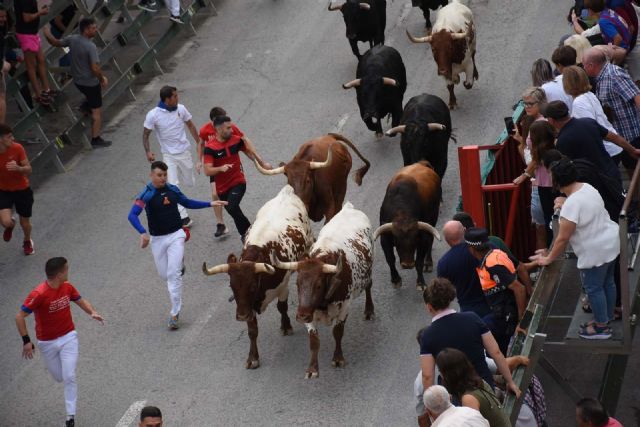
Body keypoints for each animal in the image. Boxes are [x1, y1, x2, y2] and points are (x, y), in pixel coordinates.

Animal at [201, 187, 314, 372]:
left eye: (253, 286)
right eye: (232, 287)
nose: (241, 316)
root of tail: (286, 192)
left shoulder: (282, 287)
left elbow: (282, 307)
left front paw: (286, 326)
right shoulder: (248, 305)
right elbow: (252, 330)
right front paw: (253, 358)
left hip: (310, 241)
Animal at [272, 202, 376, 380]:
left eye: (319, 285)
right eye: (297, 284)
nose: (301, 316)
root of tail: (349, 208)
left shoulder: (344, 307)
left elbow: (338, 332)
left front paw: (338, 358)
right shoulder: (308, 312)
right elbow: (314, 341)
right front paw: (312, 368)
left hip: (368, 273)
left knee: (368, 287)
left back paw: (369, 311)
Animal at [376, 161, 440, 290]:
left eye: (415, 240)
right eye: (396, 241)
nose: (407, 264)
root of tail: (421, 163)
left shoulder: (422, 239)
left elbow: (419, 261)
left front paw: (420, 283)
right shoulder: (385, 239)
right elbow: (390, 259)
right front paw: (395, 280)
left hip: (433, 218)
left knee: (430, 240)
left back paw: (428, 263)